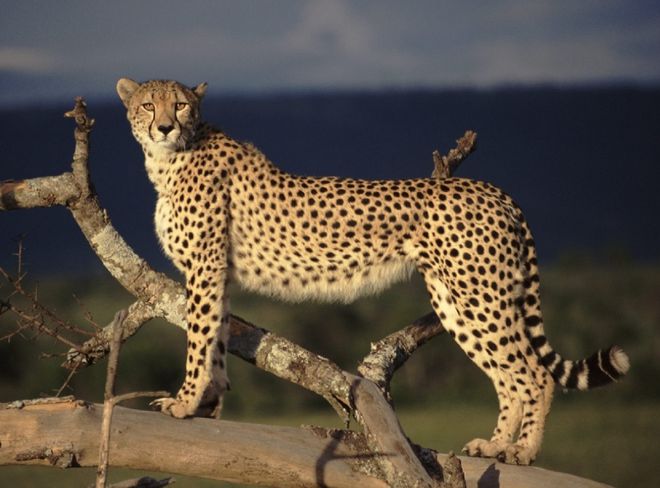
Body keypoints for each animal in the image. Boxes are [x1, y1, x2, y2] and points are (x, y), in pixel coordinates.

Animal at [117, 77, 628, 466]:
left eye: (180, 104)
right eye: (148, 104)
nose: (164, 126)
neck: (172, 157)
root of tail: (493, 189)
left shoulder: (204, 268)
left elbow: (199, 338)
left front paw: (184, 402)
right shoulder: (217, 273)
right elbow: (216, 339)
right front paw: (206, 405)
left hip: (480, 296)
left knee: (533, 375)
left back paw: (522, 452)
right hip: (457, 302)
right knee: (508, 377)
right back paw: (496, 444)